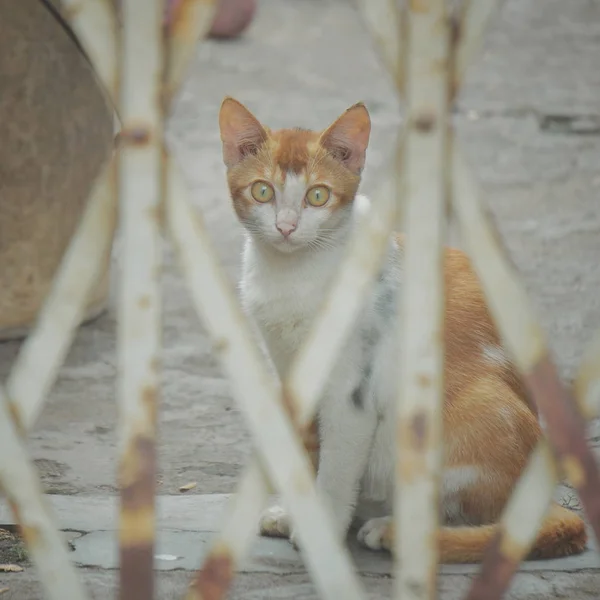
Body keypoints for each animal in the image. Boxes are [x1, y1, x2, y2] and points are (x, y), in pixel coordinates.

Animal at [216, 96, 584, 560]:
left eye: (318, 196)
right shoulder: (292, 373)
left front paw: (324, 529)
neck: (291, 275)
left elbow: (336, 469)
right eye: (262, 191)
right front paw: (301, 515)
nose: (286, 227)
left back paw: (392, 529)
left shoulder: (351, 393)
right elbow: (310, 453)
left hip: (471, 408)